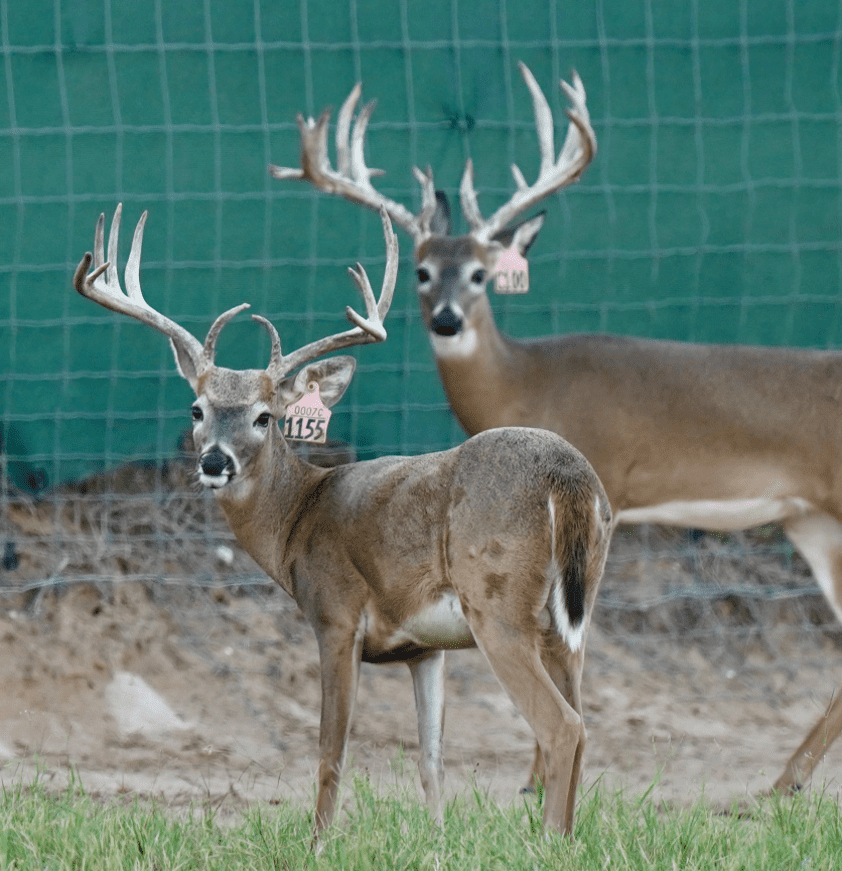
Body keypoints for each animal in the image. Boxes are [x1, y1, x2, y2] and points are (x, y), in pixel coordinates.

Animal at [71, 204, 613, 839]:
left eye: (264, 416)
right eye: (197, 409)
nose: (214, 462)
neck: (299, 517)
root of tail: (567, 474)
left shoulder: (335, 615)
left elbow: (331, 752)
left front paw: (319, 842)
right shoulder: (425, 649)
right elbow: (432, 760)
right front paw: (437, 840)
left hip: (498, 604)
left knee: (562, 726)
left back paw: (548, 842)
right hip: (570, 619)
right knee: (583, 723)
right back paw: (569, 838)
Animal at [271, 61, 842, 800]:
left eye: (481, 273)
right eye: (421, 271)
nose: (447, 319)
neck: (528, 382)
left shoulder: (607, 487)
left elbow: (570, 637)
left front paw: (538, 777)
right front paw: (539, 777)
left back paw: (783, 780)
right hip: (812, 520)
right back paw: (785, 780)